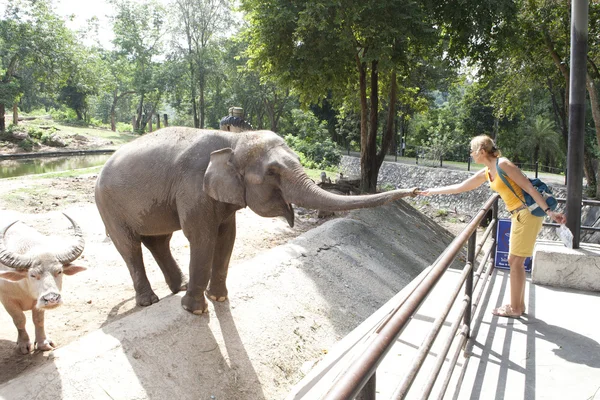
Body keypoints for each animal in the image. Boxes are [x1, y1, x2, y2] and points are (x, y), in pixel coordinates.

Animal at [96, 126, 418, 314]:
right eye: (273, 172)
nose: (416, 190)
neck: (233, 140)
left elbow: (227, 236)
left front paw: (219, 300)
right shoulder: (193, 187)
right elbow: (201, 237)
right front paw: (194, 310)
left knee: (158, 241)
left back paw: (178, 287)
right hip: (108, 206)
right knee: (130, 246)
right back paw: (150, 301)